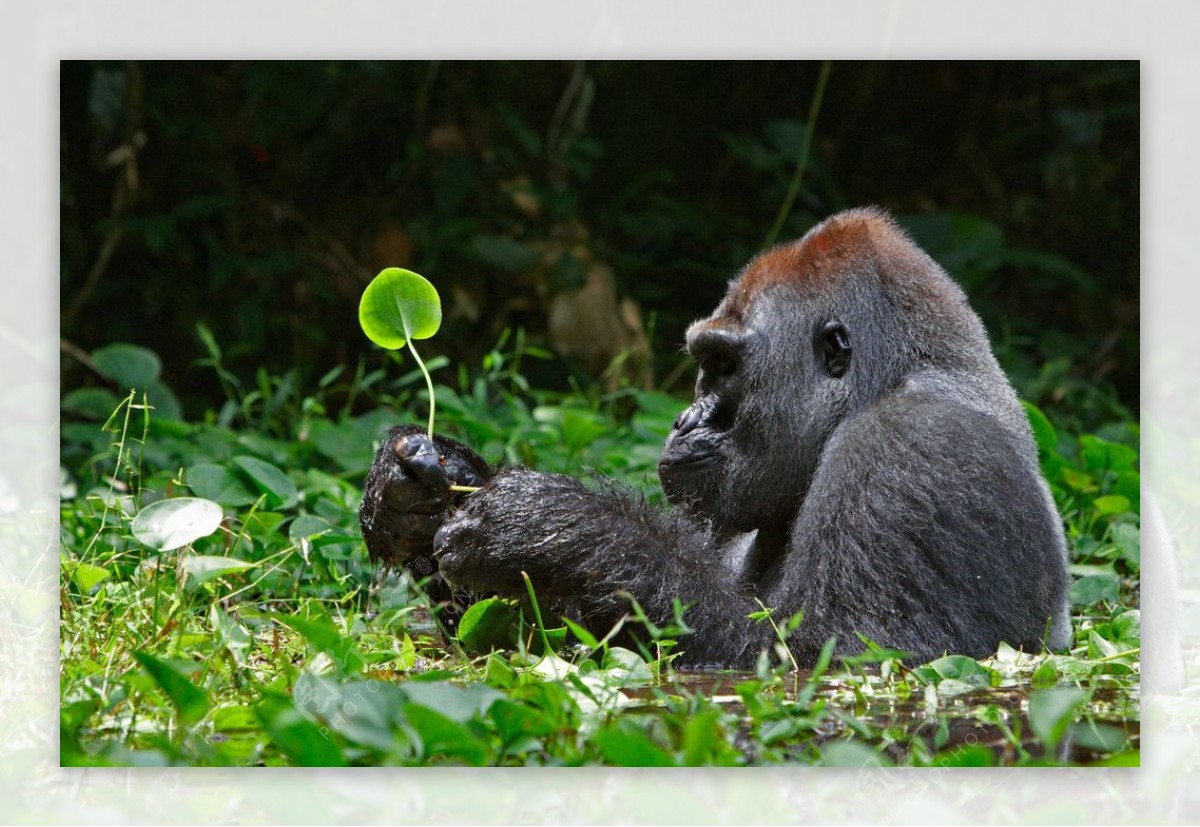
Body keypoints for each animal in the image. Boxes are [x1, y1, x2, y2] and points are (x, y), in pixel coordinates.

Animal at [355, 210, 1070, 667]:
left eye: (724, 367)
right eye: (705, 363)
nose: (684, 420)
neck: (890, 379)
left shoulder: (913, 448)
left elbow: (828, 655)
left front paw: (553, 527)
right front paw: (418, 493)